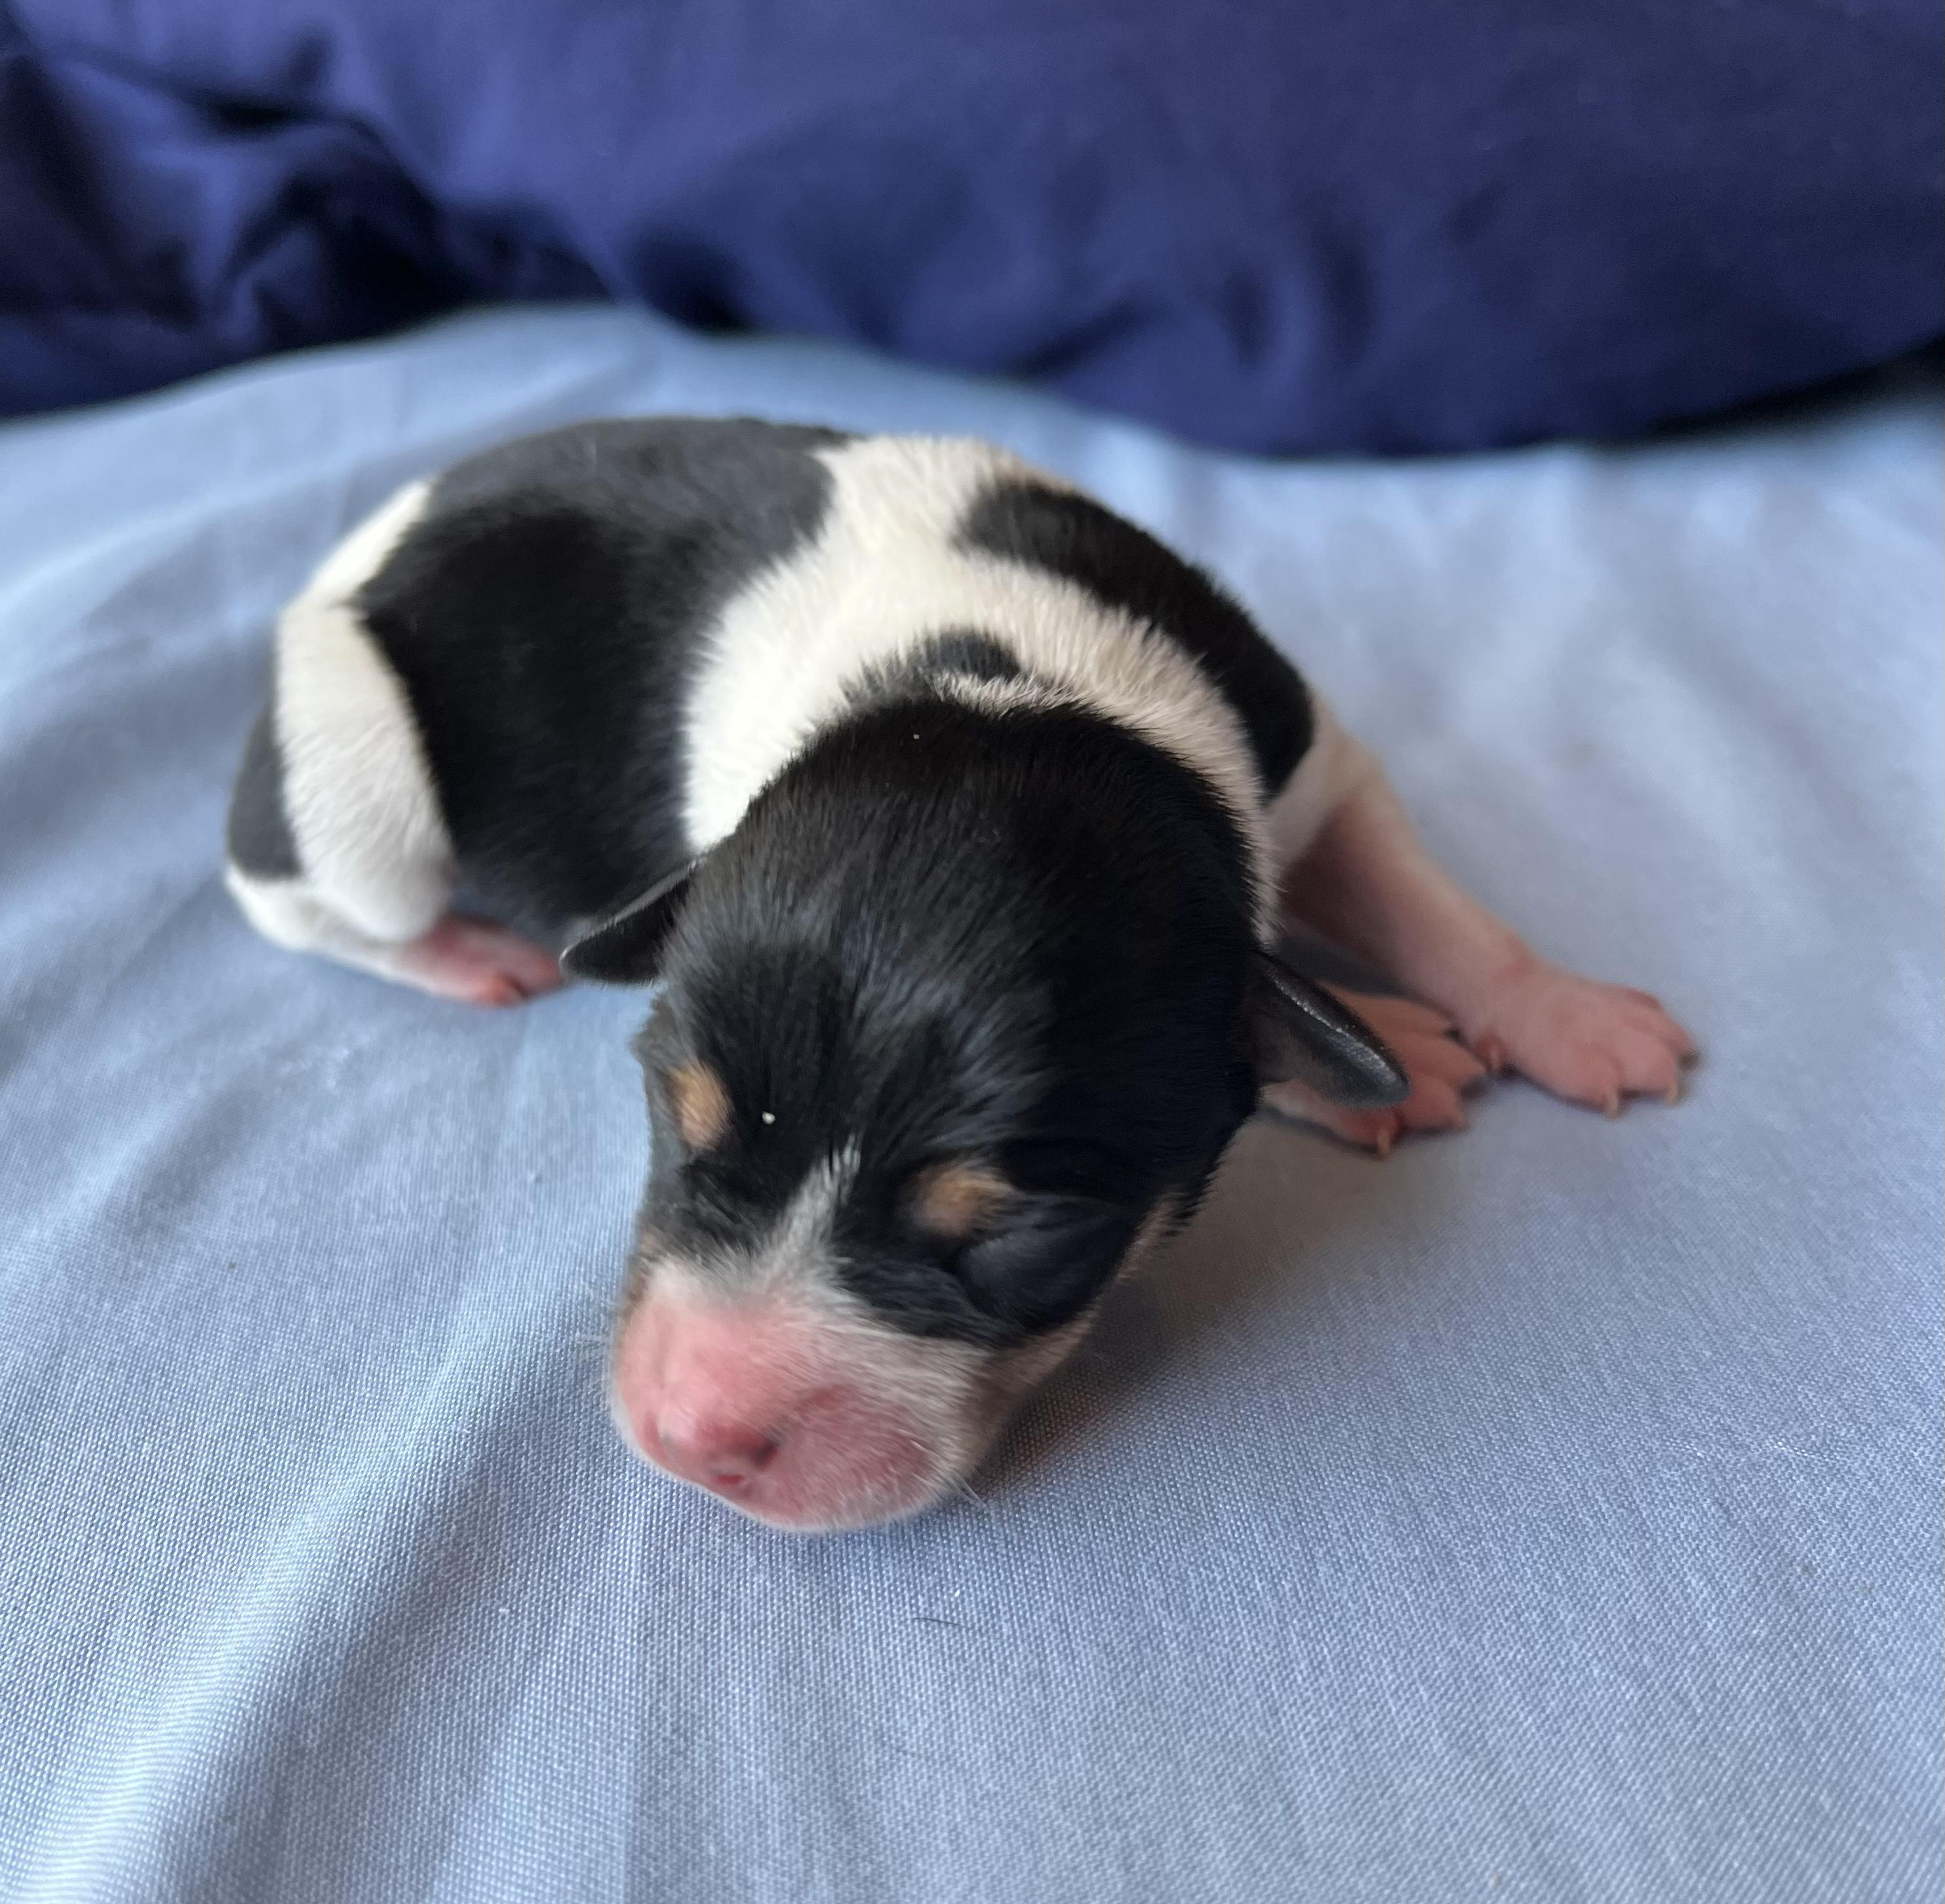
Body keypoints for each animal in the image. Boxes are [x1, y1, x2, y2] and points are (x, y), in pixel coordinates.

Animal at [226, 419, 1694, 1531]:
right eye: (670, 1110)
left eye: (1021, 1234)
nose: (692, 1437)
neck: (1016, 683)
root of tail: (344, 557)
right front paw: (1363, 1056)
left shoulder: (1308, 749)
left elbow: (1421, 898)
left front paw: (1558, 1013)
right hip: (362, 764)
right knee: (290, 894)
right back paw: (466, 954)